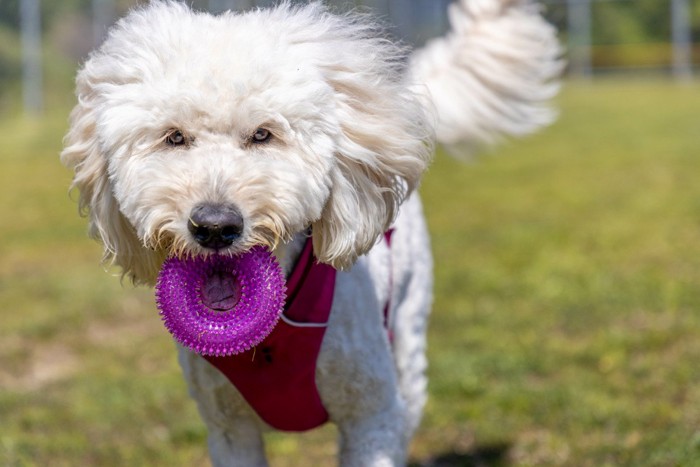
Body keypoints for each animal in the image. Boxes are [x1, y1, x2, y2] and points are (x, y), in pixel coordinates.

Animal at [63, 1, 560, 466]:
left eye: (263, 134)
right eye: (174, 137)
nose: (215, 227)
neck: (273, 330)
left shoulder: (370, 416)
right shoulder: (229, 430)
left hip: (409, 343)